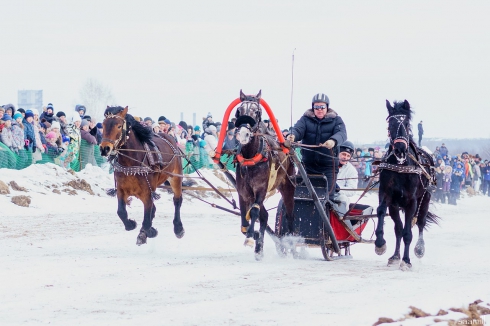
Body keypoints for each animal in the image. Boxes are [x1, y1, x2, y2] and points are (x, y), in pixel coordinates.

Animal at [98, 105, 185, 246]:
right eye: (104, 125)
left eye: (118, 126)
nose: (104, 148)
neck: (132, 162)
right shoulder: (121, 190)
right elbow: (121, 212)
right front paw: (133, 225)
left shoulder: (147, 191)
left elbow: (147, 216)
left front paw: (144, 233)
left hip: (175, 176)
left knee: (177, 200)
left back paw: (178, 227)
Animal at [234, 90, 294, 262]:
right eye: (239, 110)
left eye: (257, 111)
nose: (243, 133)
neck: (251, 157)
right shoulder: (243, 192)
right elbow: (244, 218)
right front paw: (253, 235)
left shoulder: (260, 188)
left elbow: (254, 212)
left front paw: (250, 237)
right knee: (265, 216)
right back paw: (260, 247)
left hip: (288, 186)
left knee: (290, 214)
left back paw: (292, 244)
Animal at [376, 99, 440, 270]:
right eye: (390, 123)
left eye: (406, 123)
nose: (400, 149)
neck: (401, 166)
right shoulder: (387, 195)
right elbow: (381, 211)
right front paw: (380, 243)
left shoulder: (412, 201)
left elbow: (408, 233)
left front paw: (406, 260)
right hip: (396, 206)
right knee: (398, 228)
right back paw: (395, 256)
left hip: (425, 199)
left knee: (420, 222)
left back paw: (419, 249)